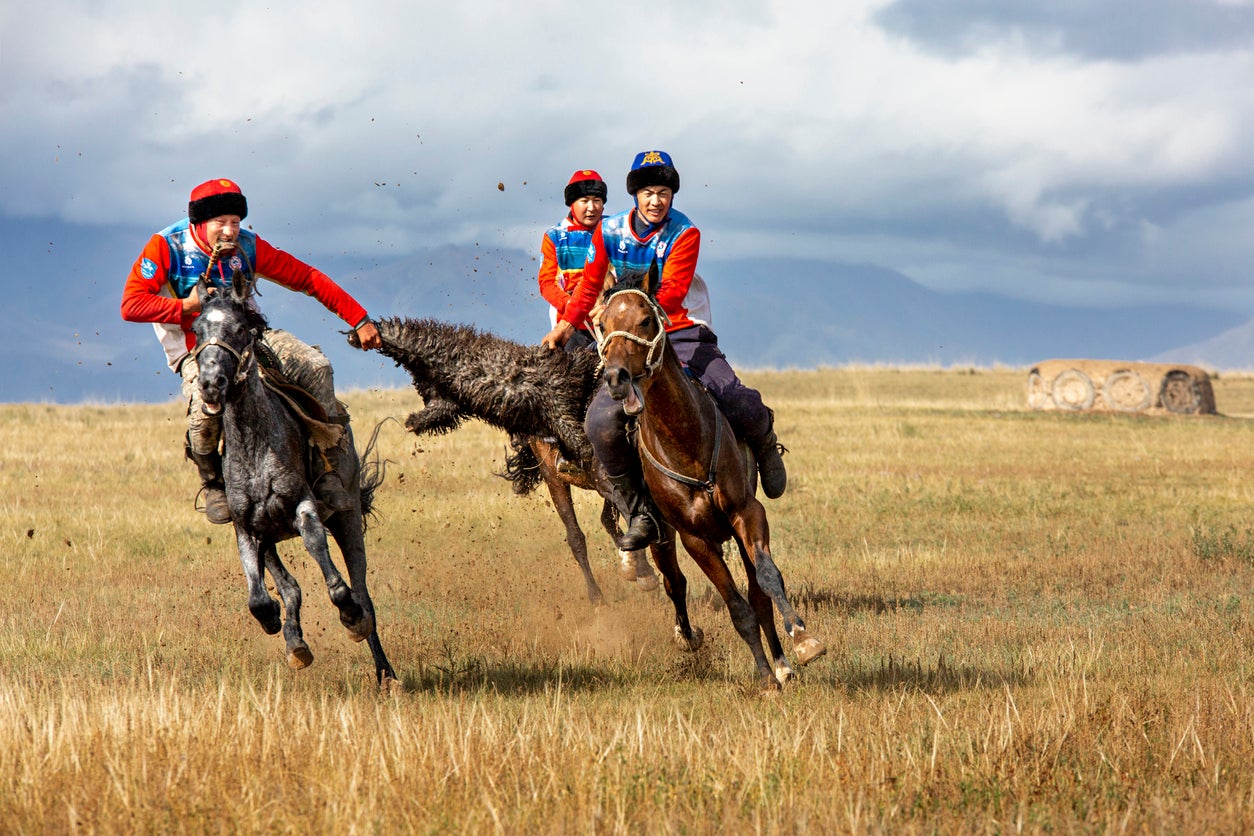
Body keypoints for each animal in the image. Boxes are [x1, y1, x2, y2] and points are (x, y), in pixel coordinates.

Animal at [190, 274, 393, 686]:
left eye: (238, 329)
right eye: (197, 329)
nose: (211, 383)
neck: (255, 444)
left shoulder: (303, 506)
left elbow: (330, 570)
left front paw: (348, 614)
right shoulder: (248, 528)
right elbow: (260, 595)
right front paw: (272, 620)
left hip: (347, 516)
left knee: (363, 590)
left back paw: (383, 668)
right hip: (271, 536)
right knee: (291, 588)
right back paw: (296, 644)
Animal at [594, 268, 822, 691]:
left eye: (645, 320)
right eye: (602, 324)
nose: (616, 378)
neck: (686, 440)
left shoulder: (747, 514)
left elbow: (767, 580)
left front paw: (801, 642)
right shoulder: (694, 537)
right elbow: (736, 608)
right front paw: (764, 679)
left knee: (757, 591)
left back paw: (782, 663)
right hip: (660, 534)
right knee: (674, 582)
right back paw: (688, 636)